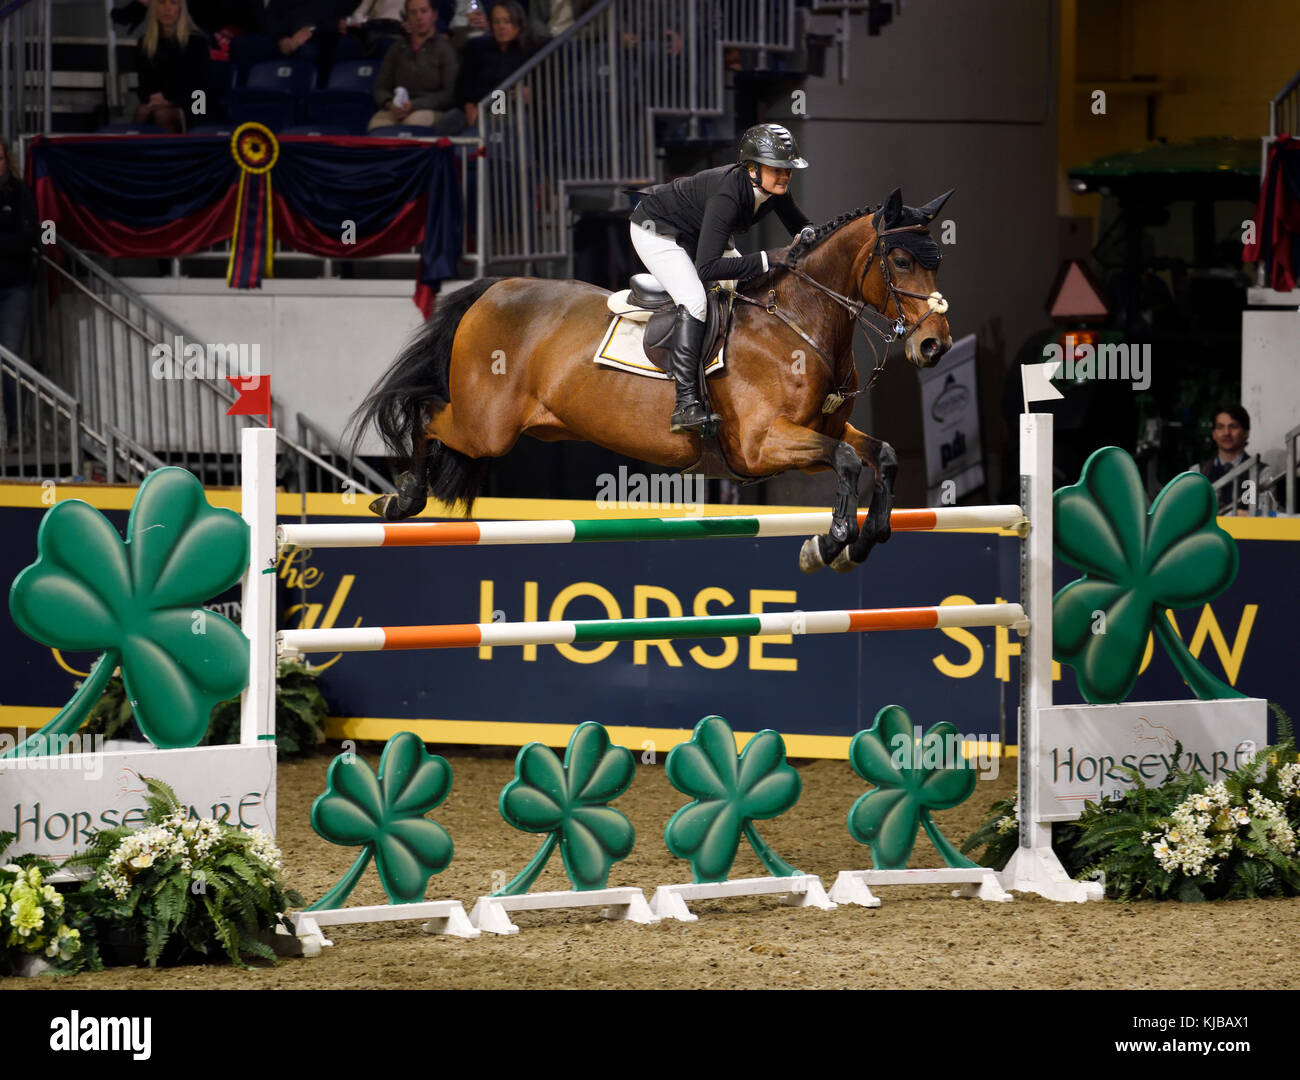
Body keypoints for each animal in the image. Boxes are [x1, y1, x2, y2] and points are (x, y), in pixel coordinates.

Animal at [352, 187, 953, 573]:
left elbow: (882, 454)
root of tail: (495, 288)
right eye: (901, 261)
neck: (797, 321)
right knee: (428, 415)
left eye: (938, 260)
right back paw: (401, 500)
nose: (934, 345)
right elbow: (849, 462)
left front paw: (863, 539)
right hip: (486, 427)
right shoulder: (761, 447)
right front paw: (829, 545)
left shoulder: (819, 432)